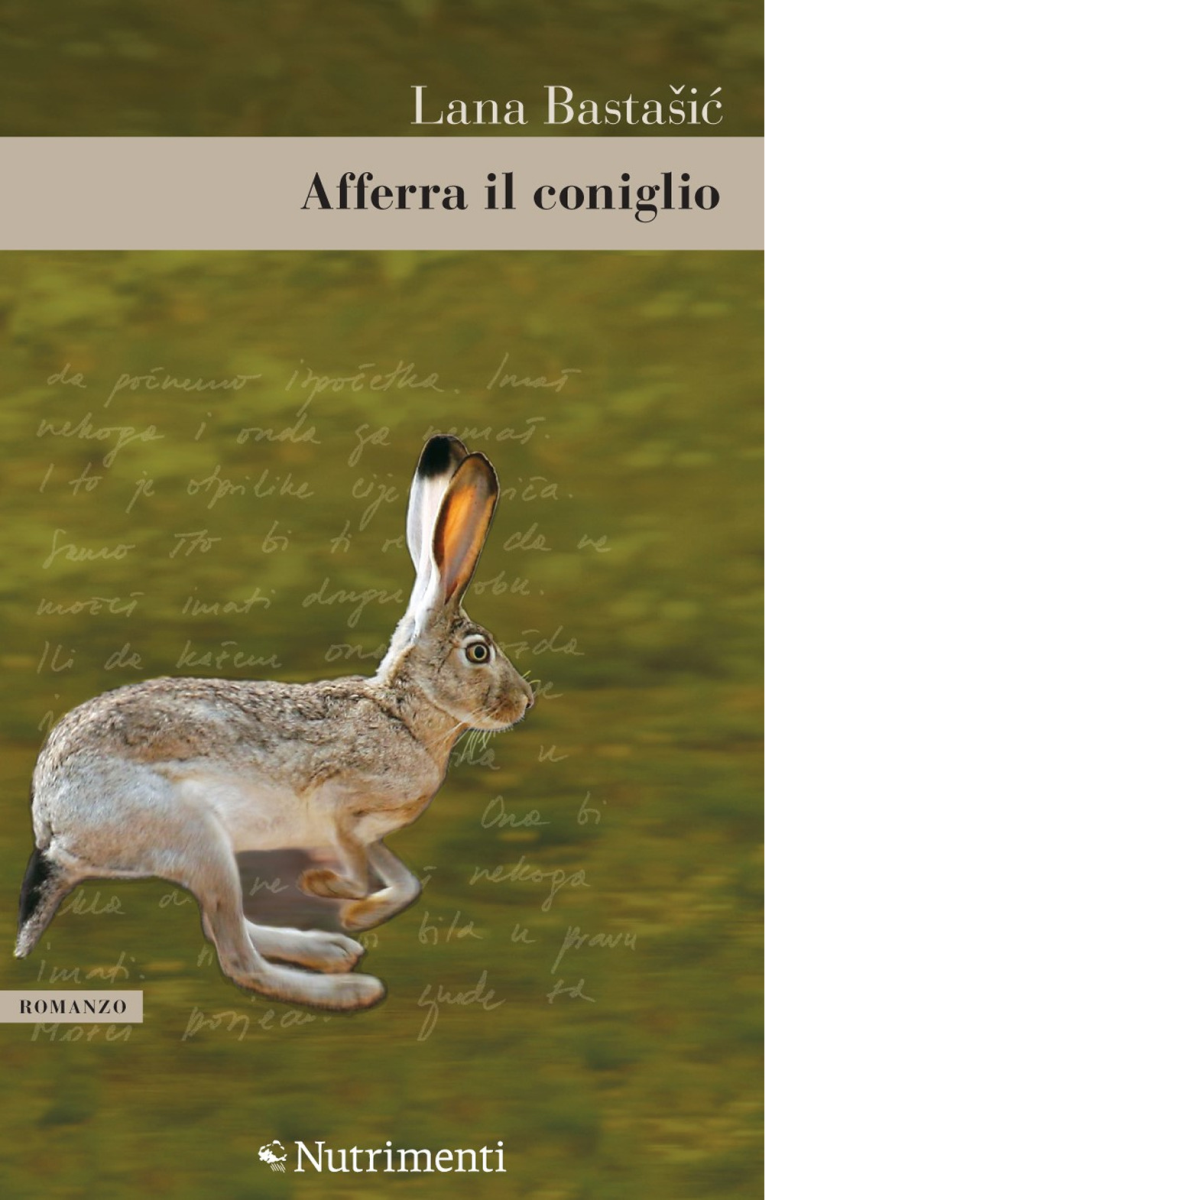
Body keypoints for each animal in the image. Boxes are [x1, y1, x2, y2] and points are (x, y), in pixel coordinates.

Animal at [14, 435, 535, 1012]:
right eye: (479, 652)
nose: (525, 701)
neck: (403, 715)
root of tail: (52, 820)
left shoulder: (371, 831)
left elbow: (405, 883)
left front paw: (357, 913)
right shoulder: (337, 803)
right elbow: (357, 867)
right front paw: (335, 892)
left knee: (222, 925)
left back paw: (332, 949)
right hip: (199, 839)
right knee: (234, 954)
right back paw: (350, 988)